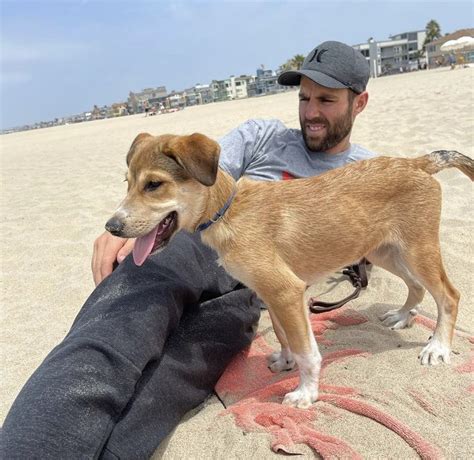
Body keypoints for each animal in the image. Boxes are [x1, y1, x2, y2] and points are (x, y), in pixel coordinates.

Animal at [105, 132, 472, 406]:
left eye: (154, 185)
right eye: (127, 182)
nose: (112, 227)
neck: (228, 211)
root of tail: (416, 162)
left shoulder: (285, 291)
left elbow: (308, 351)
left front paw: (306, 393)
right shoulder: (273, 295)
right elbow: (285, 337)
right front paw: (286, 362)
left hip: (417, 250)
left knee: (449, 295)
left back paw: (437, 348)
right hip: (385, 251)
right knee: (418, 286)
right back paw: (403, 315)